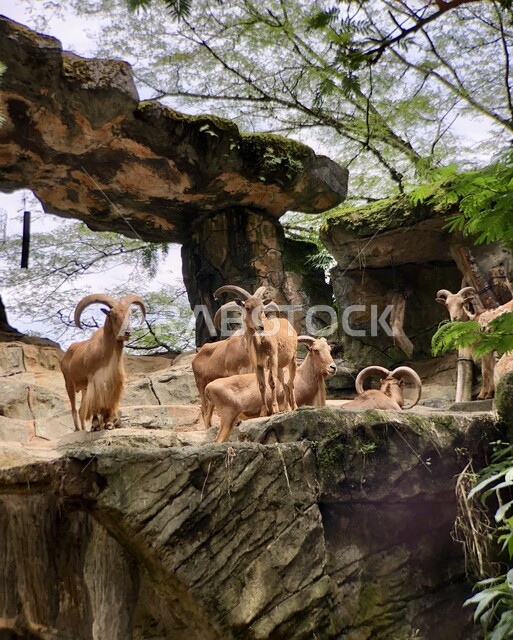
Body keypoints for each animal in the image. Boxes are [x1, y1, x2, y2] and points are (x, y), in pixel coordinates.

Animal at [60, 293, 146, 431]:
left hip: (84, 388)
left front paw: (108, 423)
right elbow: (95, 403)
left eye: (129, 315)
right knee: (74, 408)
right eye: (113, 315)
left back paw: (84, 429)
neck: (104, 353)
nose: (127, 332)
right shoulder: (93, 379)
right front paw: (95, 425)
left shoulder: (111, 381)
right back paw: (78, 429)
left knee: (81, 409)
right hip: (69, 383)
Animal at [205, 336, 336, 443]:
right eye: (316, 350)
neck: (302, 377)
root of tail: (208, 386)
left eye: (329, 350)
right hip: (228, 415)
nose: (333, 367)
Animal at [215, 284, 298, 416]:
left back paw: (294, 406)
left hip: (292, 359)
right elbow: (262, 386)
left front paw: (274, 409)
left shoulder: (272, 358)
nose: (261, 326)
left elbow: (272, 383)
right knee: (285, 384)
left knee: (291, 382)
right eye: (247, 308)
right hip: (279, 366)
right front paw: (263, 412)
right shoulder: (258, 364)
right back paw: (287, 408)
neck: (259, 343)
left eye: (262, 308)